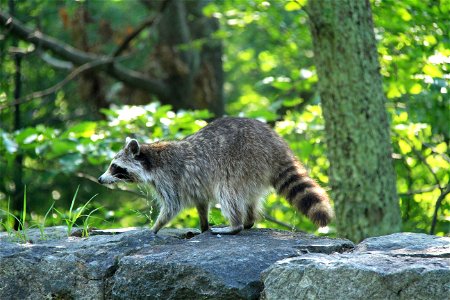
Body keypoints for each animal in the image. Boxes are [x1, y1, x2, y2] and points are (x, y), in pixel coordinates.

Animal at [100, 117, 336, 234]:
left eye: (114, 166)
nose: (101, 180)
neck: (150, 159)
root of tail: (276, 145)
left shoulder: (170, 178)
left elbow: (172, 206)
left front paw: (155, 227)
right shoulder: (192, 183)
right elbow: (200, 202)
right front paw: (203, 224)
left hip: (243, 161)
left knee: (228, 192)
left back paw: (236, 225)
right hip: (254, 172)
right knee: (249, 197)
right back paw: (249, 220)